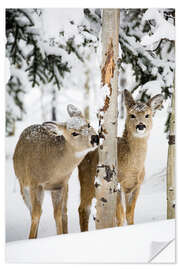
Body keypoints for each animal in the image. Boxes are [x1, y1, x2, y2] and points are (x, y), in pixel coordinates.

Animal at [13, 104, 99, 238]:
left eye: (88, 124)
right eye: (74, 133)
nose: (95, 138)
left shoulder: (60, 185)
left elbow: (57, 214)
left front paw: (60, 235)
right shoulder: (35, 183)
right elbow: (36, 214)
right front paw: (31, 238)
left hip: (66, 186)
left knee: (64, 212)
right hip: (23, 184)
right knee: (33, 211)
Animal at [77, 89, 163, 231]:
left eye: (147, 115)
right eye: (132, 115)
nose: (140, 126)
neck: (131, 167)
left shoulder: (135, 185)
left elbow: (129, 215)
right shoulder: (116, 183)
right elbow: (120, 216)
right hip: (86, 182)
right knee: (83, 209)